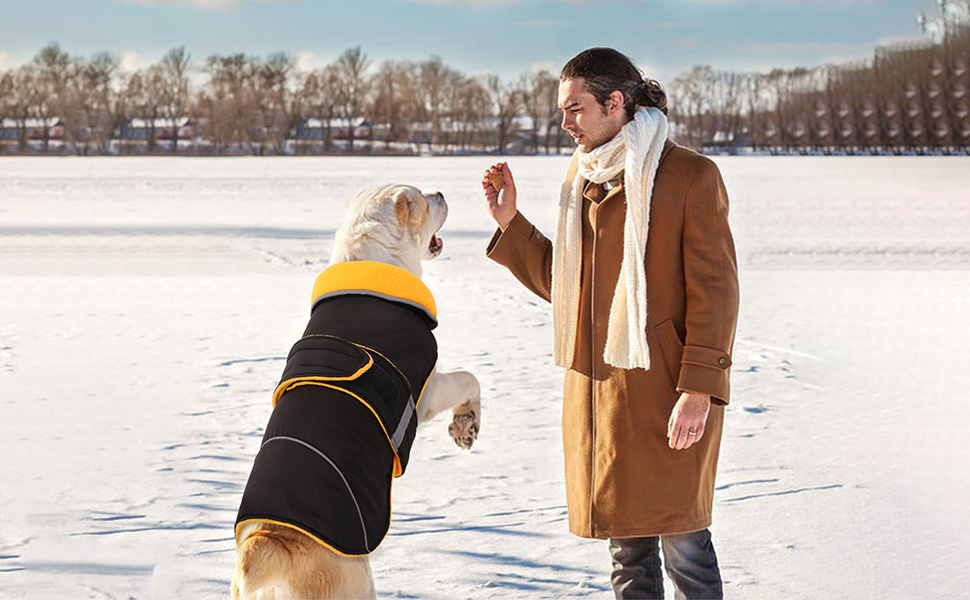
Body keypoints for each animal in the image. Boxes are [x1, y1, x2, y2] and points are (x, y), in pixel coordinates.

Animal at [231, 185, 480, 596]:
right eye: (422, 199)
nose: (440, 192)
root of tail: (271, 540)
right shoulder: (427, 391)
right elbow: (470, 379)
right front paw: (466, 426)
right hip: (355, 580)